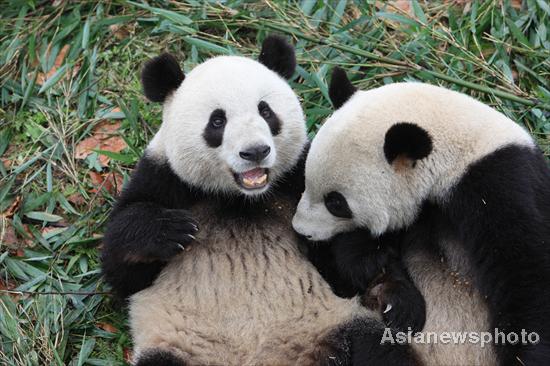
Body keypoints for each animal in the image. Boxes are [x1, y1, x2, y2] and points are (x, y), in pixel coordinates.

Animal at [100, 38, 418, 366]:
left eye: (266, 111)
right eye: (217, 121)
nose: (255, 151)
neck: (242, 201)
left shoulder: (300, 181)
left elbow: (342, 271)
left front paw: (387, 286)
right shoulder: (166, 179)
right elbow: (122, 269)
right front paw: (172, 230)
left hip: (336, 325)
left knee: (376, 347)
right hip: (178, 348)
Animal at [296, 67, 550, 364]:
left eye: (336, 202)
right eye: (305, 179)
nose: (301, 230)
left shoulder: (502, 183)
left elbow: (529, 274)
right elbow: (355, 264)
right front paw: (396, 300)